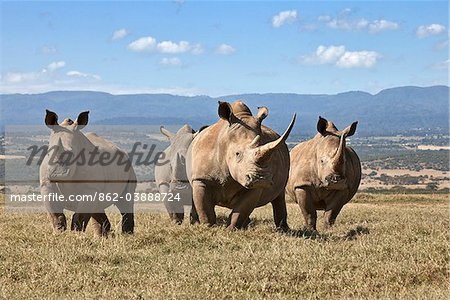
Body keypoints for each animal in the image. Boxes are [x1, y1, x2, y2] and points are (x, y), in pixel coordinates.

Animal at [186, 100, 296, 230]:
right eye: (237, 153)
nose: (260, 179)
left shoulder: (255, 187)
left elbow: (241, 210)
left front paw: (231, 229)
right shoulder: (201, 179)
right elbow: (205, 209)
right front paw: (208, 227)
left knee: (279, 196)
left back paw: (283, 230)